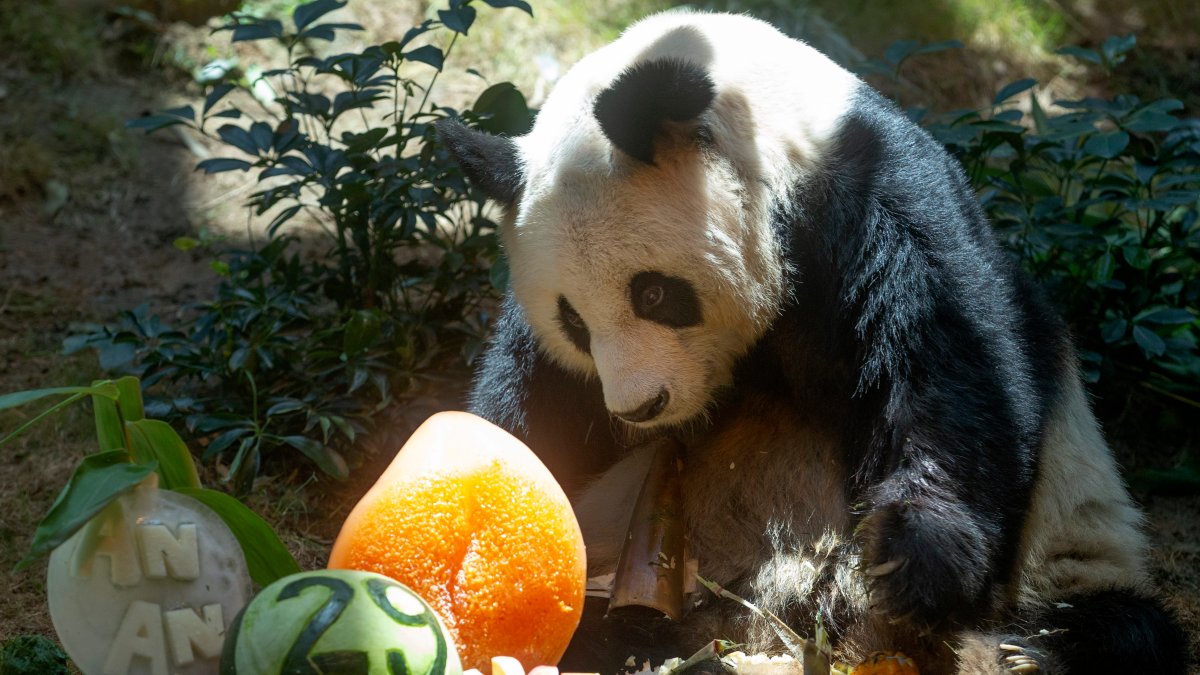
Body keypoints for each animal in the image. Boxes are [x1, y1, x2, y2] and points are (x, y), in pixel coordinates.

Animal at [436, 10, 1185, 672]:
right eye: (574, 322)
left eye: (653, 294)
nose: (639, 407)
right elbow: (532, 404)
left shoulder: (875, 204)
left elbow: (948, 369)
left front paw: (909, 556)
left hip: (1070, 543)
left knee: (1122, 625)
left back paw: (1026, 651)